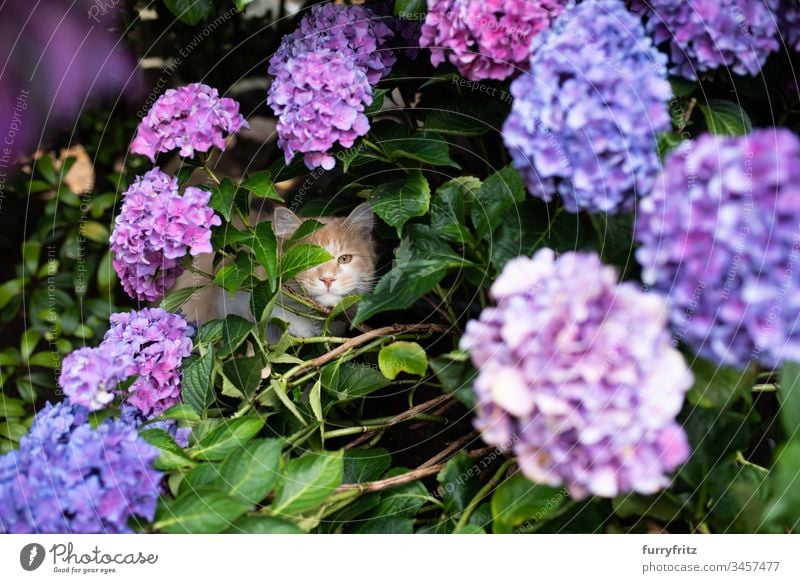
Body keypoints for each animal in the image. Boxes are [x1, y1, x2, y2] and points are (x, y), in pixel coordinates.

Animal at [177, 203, 376, 340]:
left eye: (344, 259)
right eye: (307, 260)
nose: (327, 279)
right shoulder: (227, 293)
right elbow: (271, 309)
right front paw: (300, 326)